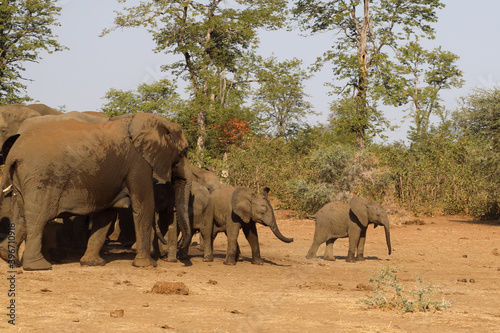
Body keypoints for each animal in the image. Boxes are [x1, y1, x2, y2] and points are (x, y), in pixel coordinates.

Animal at [0, 112, 191, 270]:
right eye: (184, 151)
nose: (177, 251)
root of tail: (15, 152)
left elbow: (107, 213)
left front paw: (92, 263)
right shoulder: (139, 163)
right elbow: (144, 206)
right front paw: (147, 265)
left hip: (24, 176)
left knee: (22, 215)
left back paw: (9, 258)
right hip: (40, 177)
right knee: (37, 217)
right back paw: (39, 267)